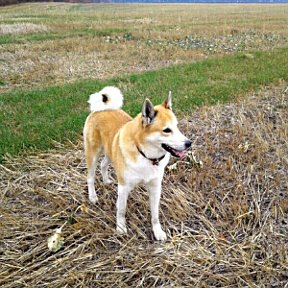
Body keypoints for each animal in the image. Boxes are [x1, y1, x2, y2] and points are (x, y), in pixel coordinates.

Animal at [83, 86, 191, 241]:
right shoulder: (123, 188)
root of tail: (101, 109)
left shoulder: (155, 187)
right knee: (90, 177)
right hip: (93, 154)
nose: (189, 143)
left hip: (110, 150)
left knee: (103, 164)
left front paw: (157, 231)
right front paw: (120, 228)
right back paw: (92, 197)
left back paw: (106, 181)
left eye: (177, 127)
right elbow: (121, 210)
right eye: (167, 130)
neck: (145, 156)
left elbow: (155, 215)